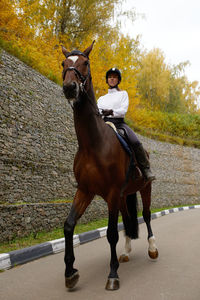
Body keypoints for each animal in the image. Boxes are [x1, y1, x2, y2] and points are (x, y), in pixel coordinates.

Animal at [61, 41, 158, 290]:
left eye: (85, 63)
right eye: (64, 63)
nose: (70, 87)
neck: (92, 144)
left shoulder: (112, 193)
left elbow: (112, 233)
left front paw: (112, 275)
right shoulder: (85, 190)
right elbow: (69, 225)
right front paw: (70, 272)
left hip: (144, 188)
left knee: (146, 214)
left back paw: (152, 249)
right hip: (123, 196)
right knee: (128, 217)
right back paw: (125, 252)